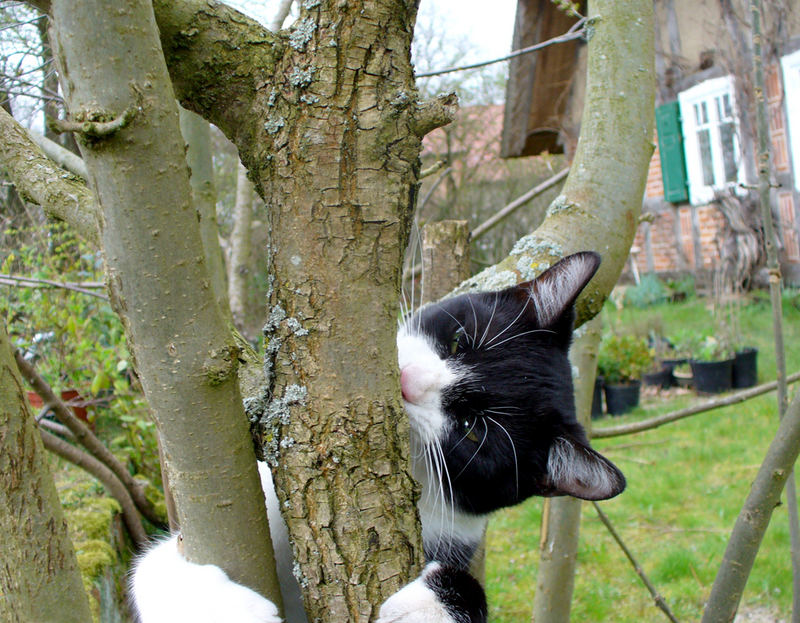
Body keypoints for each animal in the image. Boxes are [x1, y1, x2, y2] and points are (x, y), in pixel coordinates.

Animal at [131, 251, 624, 623]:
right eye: (459, 340)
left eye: (472, 429)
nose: (408, 383)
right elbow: (151, 566)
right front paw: (213, 606)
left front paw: (430, 607)